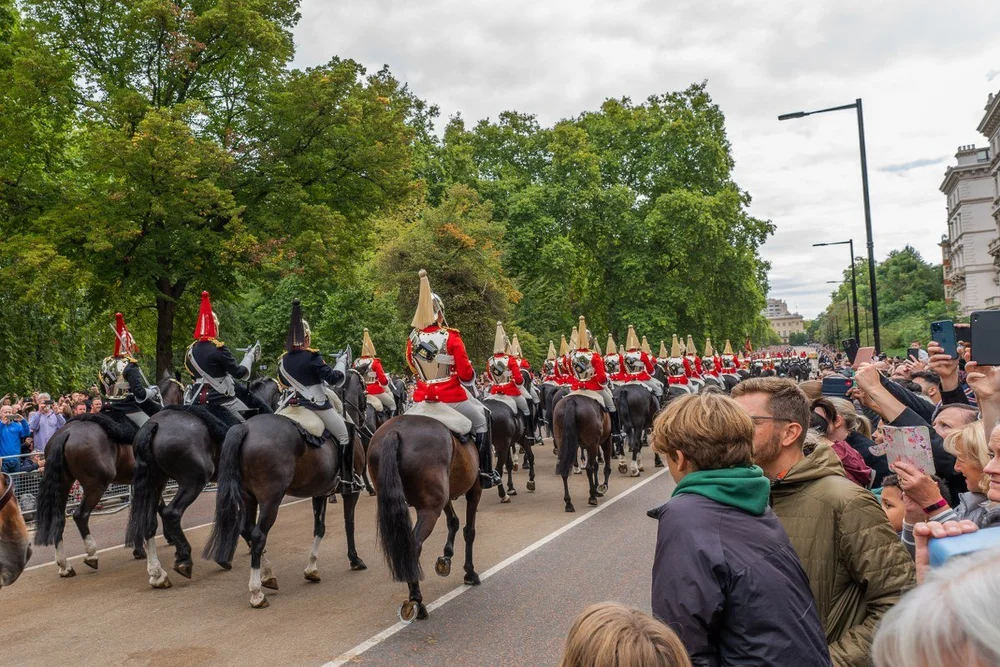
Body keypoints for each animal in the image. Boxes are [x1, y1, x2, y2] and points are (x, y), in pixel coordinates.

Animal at [34, 414, 147, 576]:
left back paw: (65, 566)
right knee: (80, 515)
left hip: (63, 484)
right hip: (96, 485)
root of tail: (66, 433)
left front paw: (139, 549)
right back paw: (91, 554)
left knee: (59, 519)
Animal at [202, 414, 367, 608]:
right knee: (258, 536)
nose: (363, 417)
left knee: (247, 530)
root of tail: (246, 427)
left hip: (248, 497)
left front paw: (312, 568)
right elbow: (349, 525)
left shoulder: (319, 493)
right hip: (271, 500)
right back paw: (257, 593)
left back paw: (268, 575)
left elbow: (319, 528)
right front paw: (355, 559)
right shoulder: (351, 492)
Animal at [367, 416, 482, 622]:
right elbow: (469, 531)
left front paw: (446, 558)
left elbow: (453, 521)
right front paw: (469, 573)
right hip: (429, 510)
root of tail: (395, 432)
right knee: (414, 545)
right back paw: (417, 603)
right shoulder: (474, 489)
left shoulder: (446, 495)